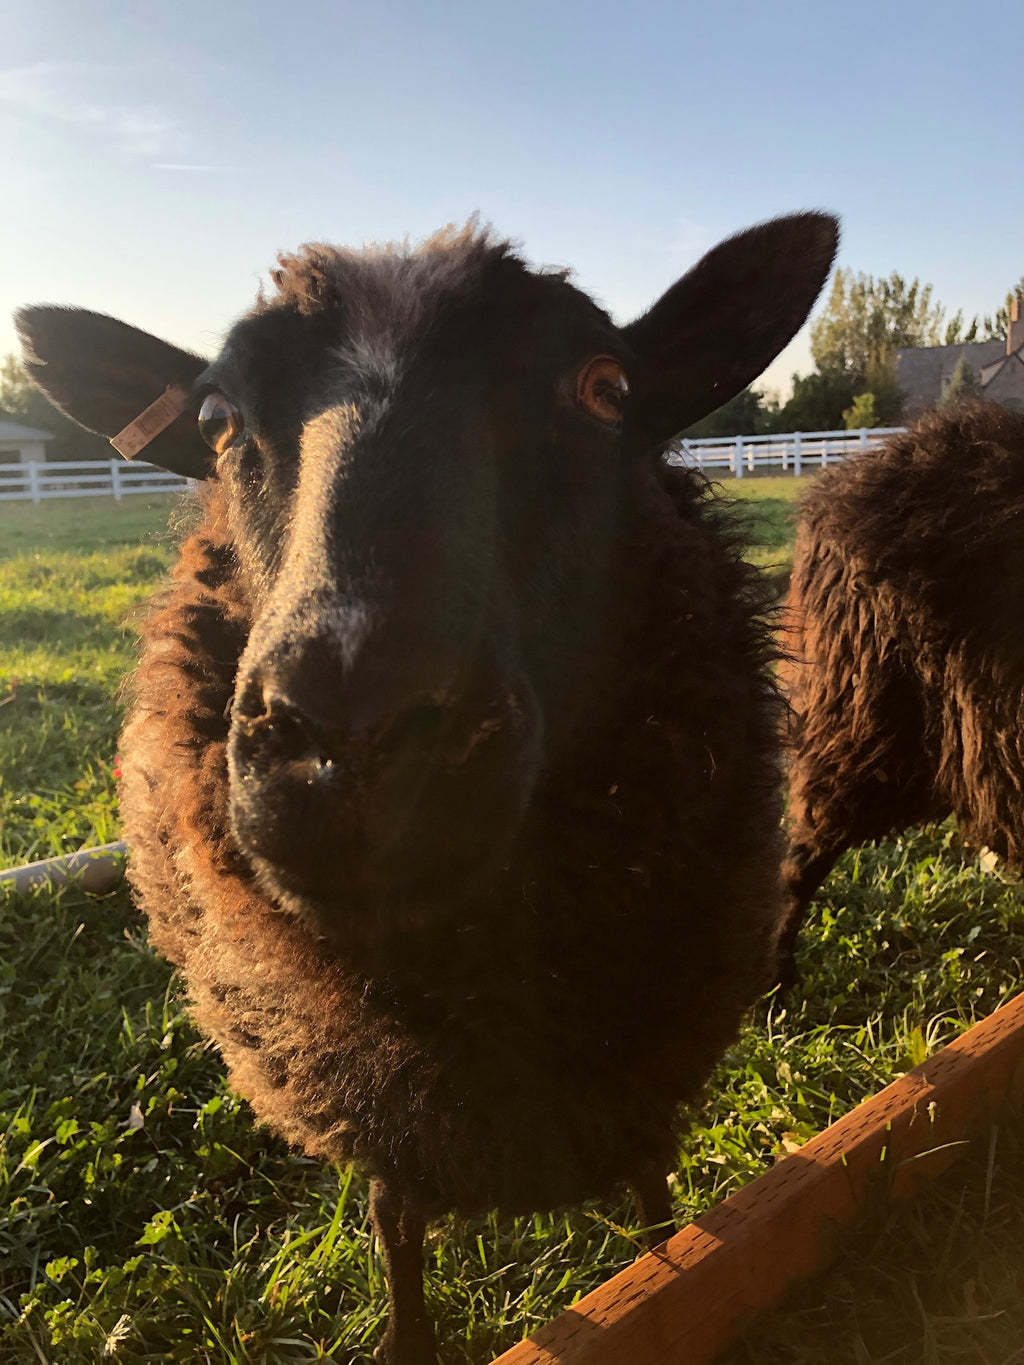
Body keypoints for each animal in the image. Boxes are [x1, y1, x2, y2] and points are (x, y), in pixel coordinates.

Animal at [17, 213, 837, 1364]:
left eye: (604, 388)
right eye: (218, 421)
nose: (354, 740)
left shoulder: (642, 1079)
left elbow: (655, 1218)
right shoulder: (379, 1120)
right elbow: (397, 1238)